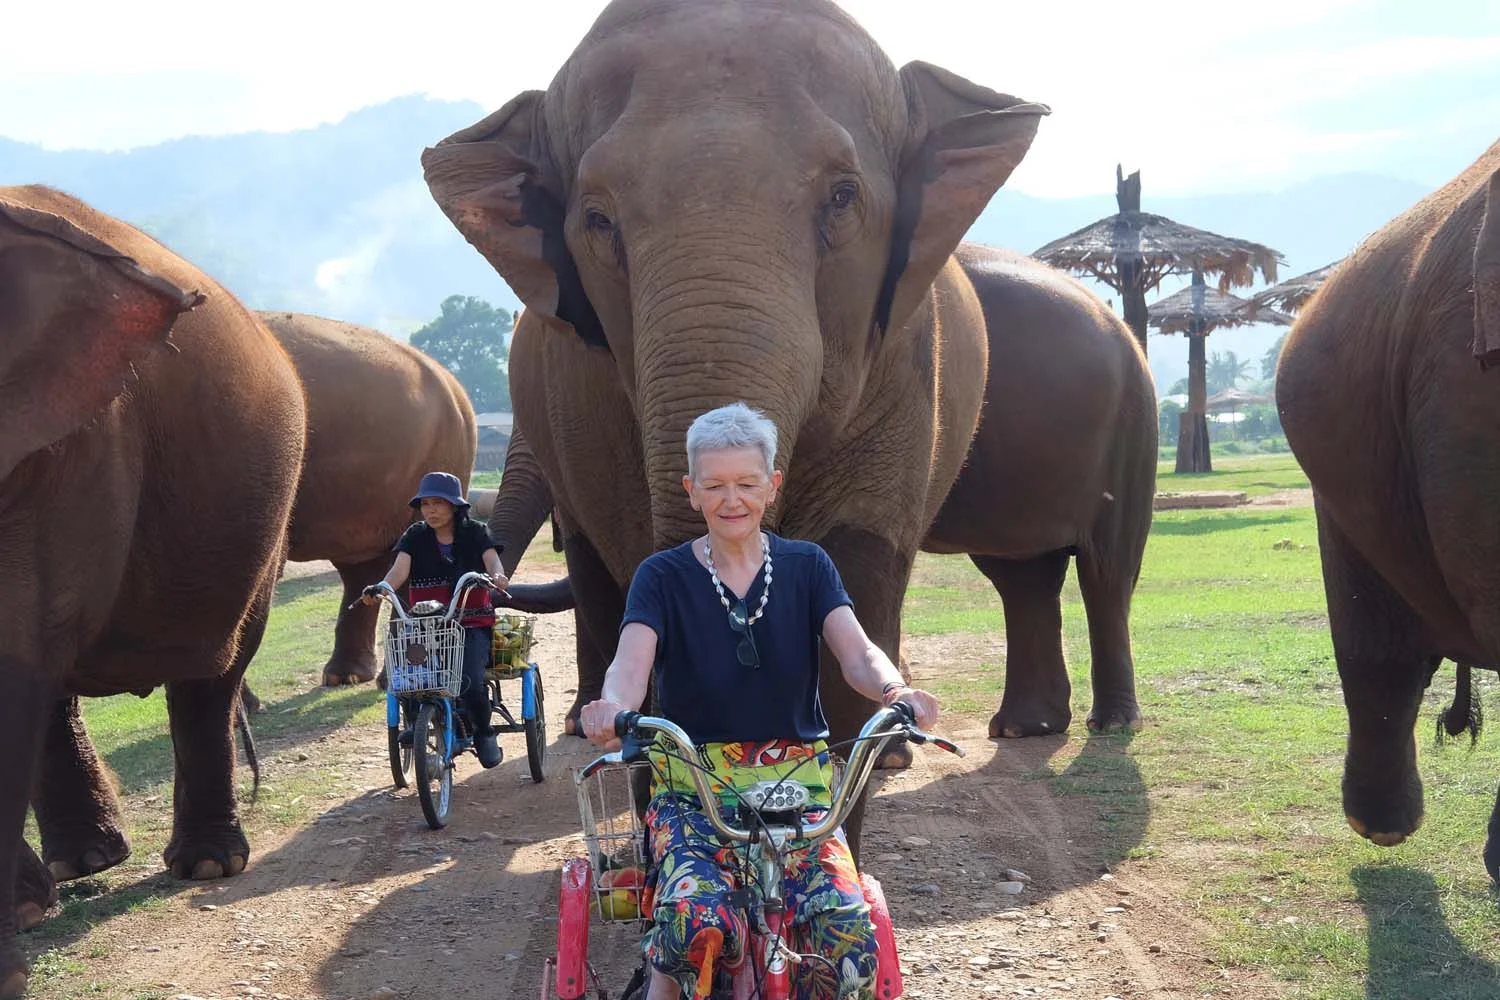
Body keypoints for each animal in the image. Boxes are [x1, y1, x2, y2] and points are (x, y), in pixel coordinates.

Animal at [423, 0, 1048, 854]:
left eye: (843, 196)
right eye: (597, 219)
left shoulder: (906, 370)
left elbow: (852, 597)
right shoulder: (591, 399)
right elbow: (640, 606)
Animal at [488, 244, 1157, 741]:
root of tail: (1122, 326)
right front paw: (584, 726)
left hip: (1132, 427)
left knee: (1106, 571)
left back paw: (1110, 724)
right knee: (1022, 577)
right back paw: (1025, 728)